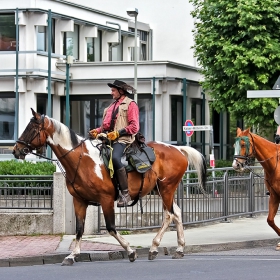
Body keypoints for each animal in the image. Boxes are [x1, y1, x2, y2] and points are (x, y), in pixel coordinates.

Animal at [12, 109, 207, 264]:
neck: (82, 160)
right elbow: (79, 229)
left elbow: (111, 228)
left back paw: (154, 247)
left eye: (32, 128)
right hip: (161, 190)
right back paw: (179, 249)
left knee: (169, 215)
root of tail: (179, 149)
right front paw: (72, 255)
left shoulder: (105, 200)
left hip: (166, 188)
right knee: (177, 213)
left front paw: (130, 251)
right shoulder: (79, 201)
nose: (15, 150)